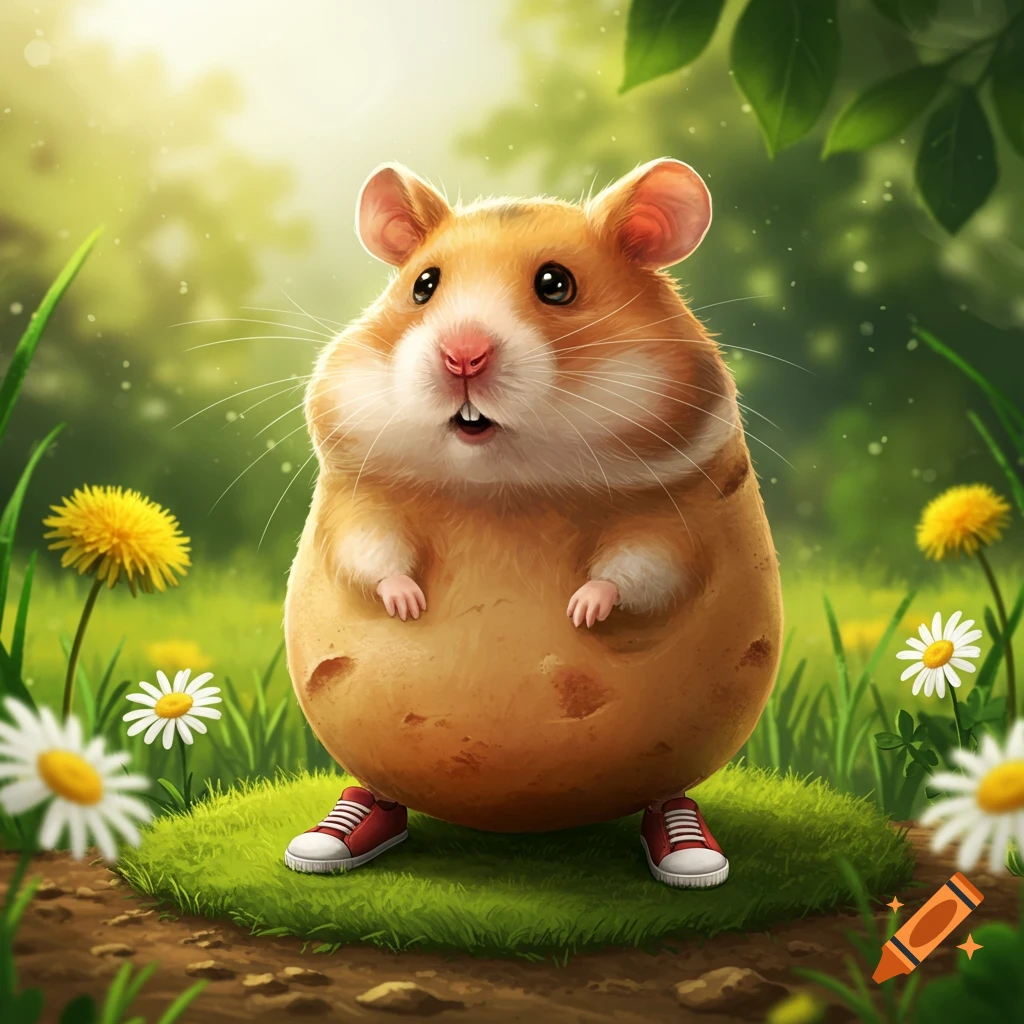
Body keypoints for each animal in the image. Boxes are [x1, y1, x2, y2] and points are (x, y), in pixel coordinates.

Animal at [284, 158, 782, 832]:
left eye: (556, 284)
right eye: (423, 286)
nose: (462, 356)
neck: (504, 486)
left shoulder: (681, 515)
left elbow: (643, 566)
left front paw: (581, 611)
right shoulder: (356, 502)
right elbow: (371, 550)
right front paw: (409, 605)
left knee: (668, 790)